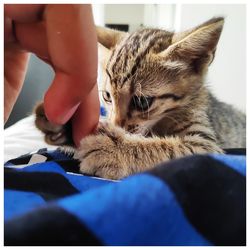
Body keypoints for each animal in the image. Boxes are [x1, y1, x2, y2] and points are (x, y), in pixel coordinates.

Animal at [35, 17, 246, 180]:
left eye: (142, 102)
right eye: (106, 96)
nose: (116, 125)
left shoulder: (206, 146)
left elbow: (168, 148)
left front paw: (113, 148)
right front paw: (69, 124)